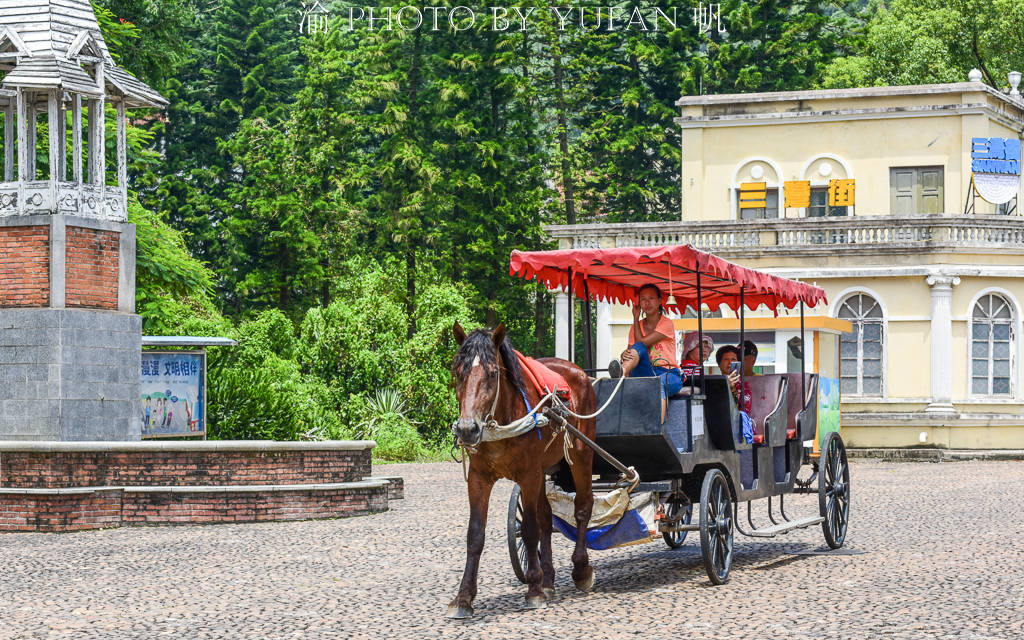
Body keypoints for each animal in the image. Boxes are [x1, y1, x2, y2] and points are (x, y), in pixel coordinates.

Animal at [448, 321, 598, 618]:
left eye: (493, 374)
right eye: (458, 372)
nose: (467, 429)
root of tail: (580, 373)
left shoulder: (528, 475)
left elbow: (529, 529)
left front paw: (534, 591)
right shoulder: (479, 478)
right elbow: (475, 534)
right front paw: (463, 597)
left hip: (580, 455)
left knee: (583, 506)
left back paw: (580, 569)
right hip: (543, 469)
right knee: (547, 518)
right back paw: (548, 580)